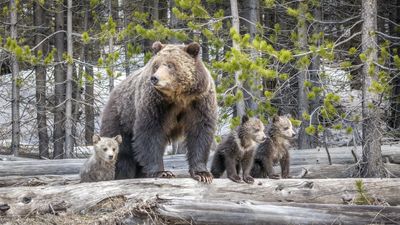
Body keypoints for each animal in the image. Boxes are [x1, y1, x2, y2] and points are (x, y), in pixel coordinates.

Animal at [100, 41, 219, 183]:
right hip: (121, 119)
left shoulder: (199, 102)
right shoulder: (155, 104)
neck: (179, 97)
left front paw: (202, 174)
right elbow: (150, 133)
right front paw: (162, 172)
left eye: (170, 65)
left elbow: (200, 134)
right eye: (156, 65)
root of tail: (113, 93)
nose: (155, 78)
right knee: (122, 153)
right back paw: (123, 175)